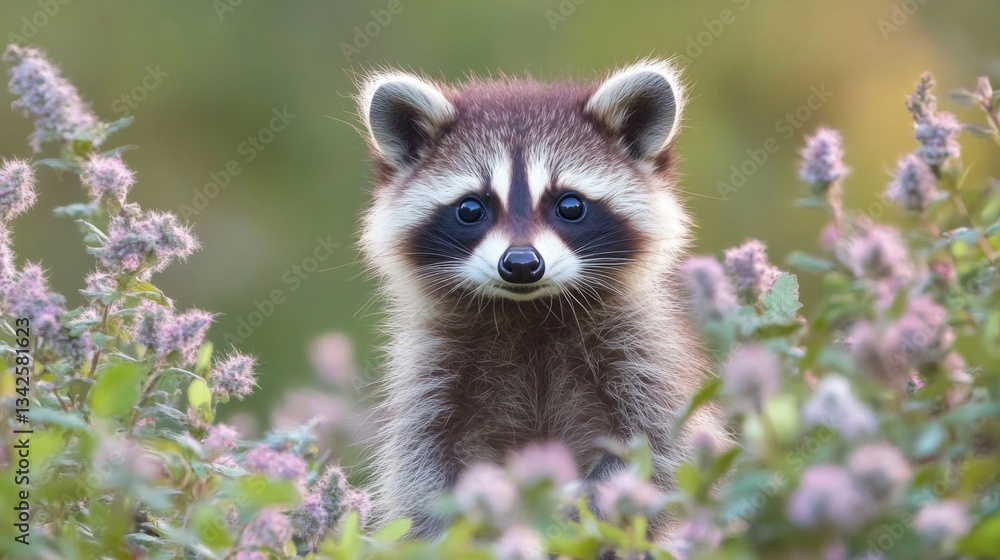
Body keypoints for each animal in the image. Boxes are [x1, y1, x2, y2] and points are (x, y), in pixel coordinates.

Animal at [355, 60, 727, 539]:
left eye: (570, 206)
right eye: (471, 208)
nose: (520, 264)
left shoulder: (644, 351)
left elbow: (658, 447)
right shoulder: (432, 367)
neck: (529, 309)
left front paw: (583, 517)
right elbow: (422, 464)